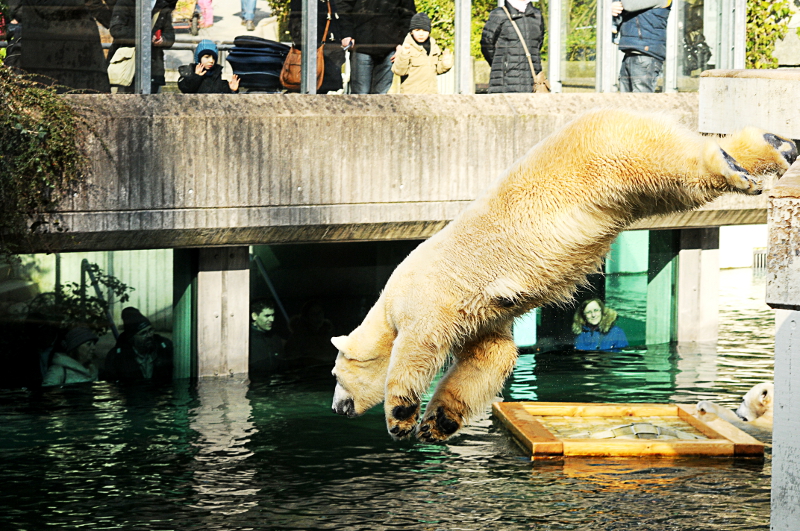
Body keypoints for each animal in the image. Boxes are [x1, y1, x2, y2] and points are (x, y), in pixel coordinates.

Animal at [330, 109, 797, 443]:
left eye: (335, 376)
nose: (336, 408)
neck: (390, 304)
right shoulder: (484, 315)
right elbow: (490, 359)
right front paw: (437, 423)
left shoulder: (431, 300)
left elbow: (418, 350)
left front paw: (401, 419)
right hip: (635, 178)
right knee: (688, 172)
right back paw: (777, 146)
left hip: (608, 156)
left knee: (682, 164)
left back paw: (738, 167)